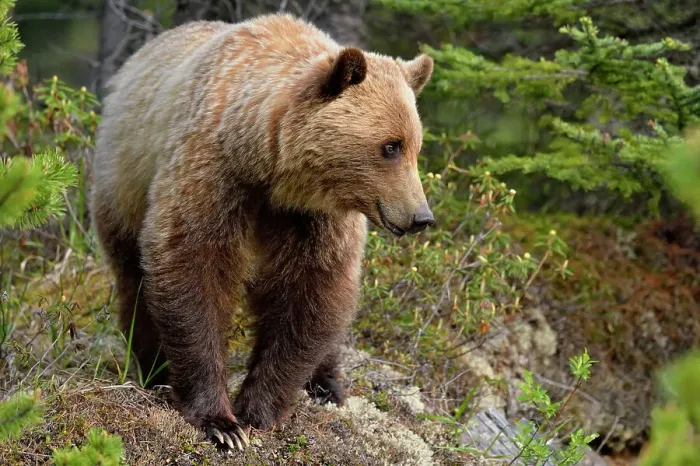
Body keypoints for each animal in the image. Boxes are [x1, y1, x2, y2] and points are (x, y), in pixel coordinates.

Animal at [89, 13, 434, 451]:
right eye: (390, 146)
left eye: (416, 147)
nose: (421, 216)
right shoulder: (215, 175)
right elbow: (192, 269)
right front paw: (221, 422)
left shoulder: (314, 220)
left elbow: (313, 295)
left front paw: (259, 409)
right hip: (122, 183)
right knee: (133, 279)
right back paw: (154, 369)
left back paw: (328, 385)